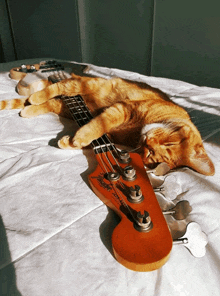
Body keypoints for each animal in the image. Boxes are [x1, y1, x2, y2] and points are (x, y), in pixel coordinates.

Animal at [0, 73, 215, 176]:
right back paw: (36, 96)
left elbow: (95, 138)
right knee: (58, 87)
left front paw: (70, 141)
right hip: (86, 85)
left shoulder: (112, 133)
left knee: (50, 102)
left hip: (64, 106)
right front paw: (80, 136)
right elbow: (98, 126)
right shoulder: (123, 109)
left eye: (149, 155)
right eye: (171, 142)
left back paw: (29, 109)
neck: (137, 131)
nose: (148, 141)